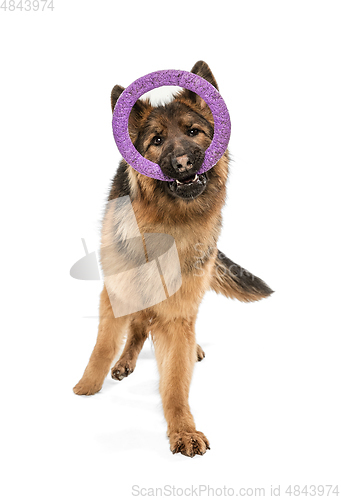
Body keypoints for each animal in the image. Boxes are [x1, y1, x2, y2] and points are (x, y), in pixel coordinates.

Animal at [73, 61, 272, 458]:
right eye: (157, 141)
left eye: (194, 132)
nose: (183, 162)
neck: (170, 224)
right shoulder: (115, 291)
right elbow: (104, 344)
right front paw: (88, 385)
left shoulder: (179, 311)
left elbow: (176, 378)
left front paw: (183, 429)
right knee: (137, 326)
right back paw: (124, 361)